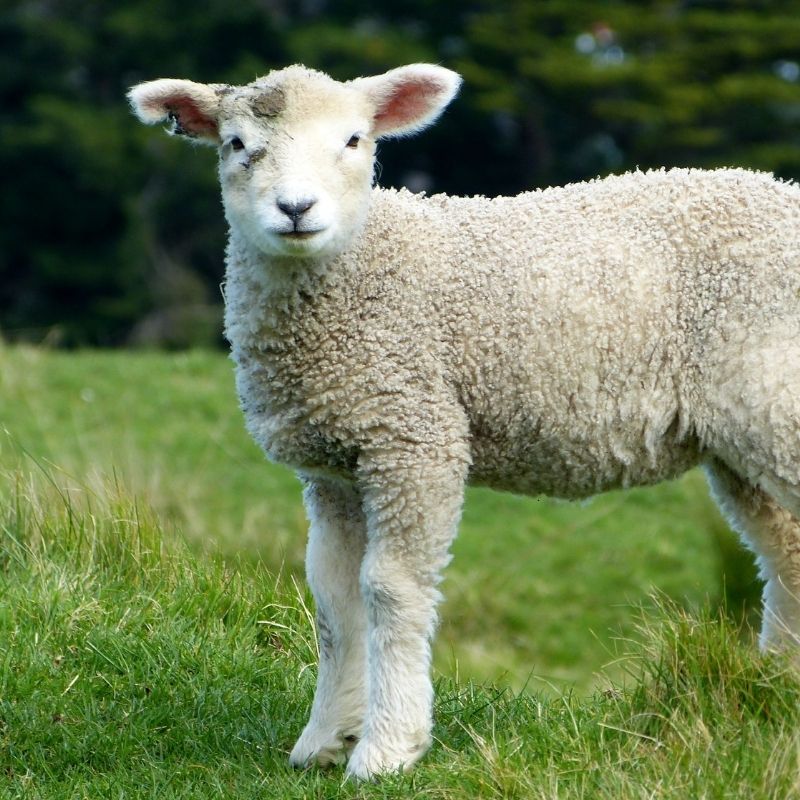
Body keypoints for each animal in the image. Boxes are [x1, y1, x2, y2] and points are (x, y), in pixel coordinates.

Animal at [129, 63, 800, 780]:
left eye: (354, 139)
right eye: (235, 144)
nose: (296, 209)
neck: (359, 273)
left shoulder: (414, 436)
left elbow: (390, 588)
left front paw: (387, 748)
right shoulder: (336, 463)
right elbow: (333, 598)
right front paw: (324, 740)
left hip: (773, 399)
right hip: (746, 437)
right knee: (784, 554)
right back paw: (775, 686)